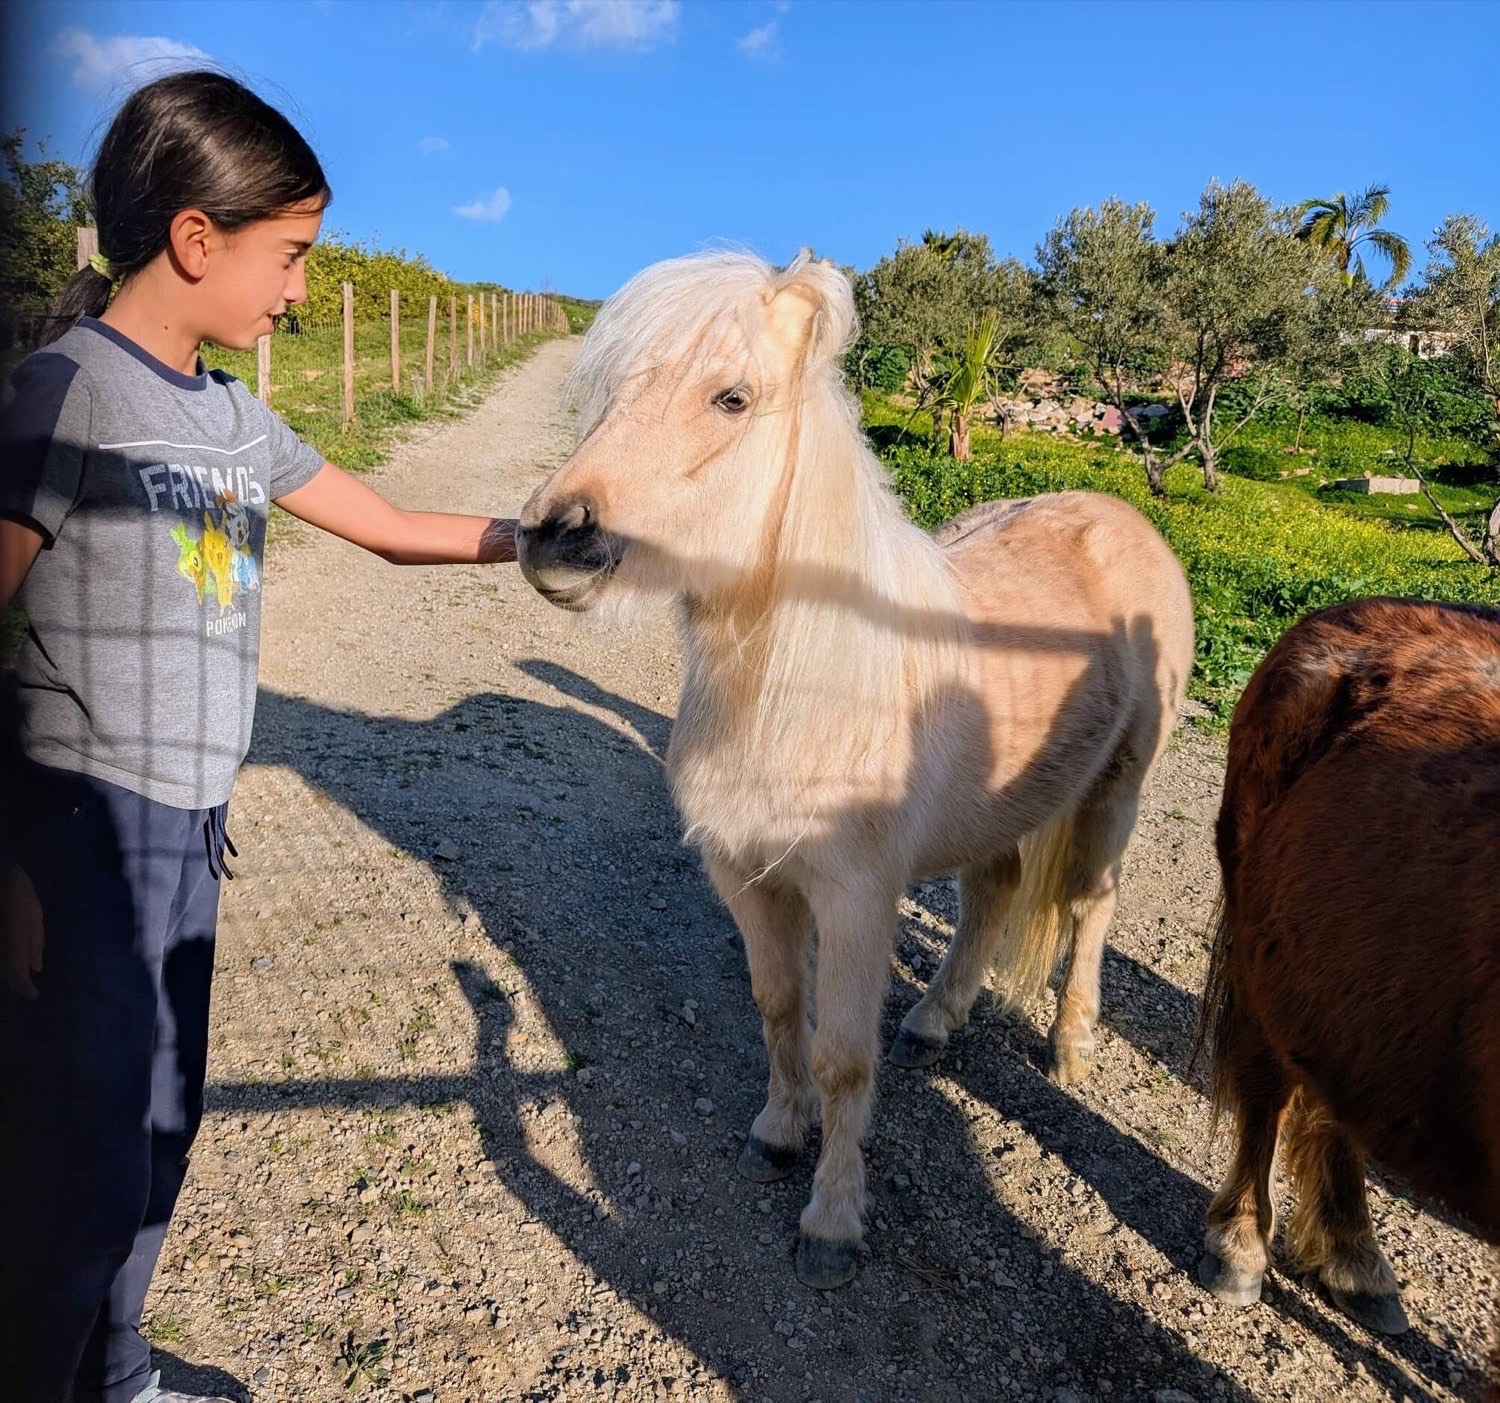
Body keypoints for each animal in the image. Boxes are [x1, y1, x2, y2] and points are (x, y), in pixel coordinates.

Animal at [516, 251, 1195, 1288]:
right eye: (611, 389)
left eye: (732, 398)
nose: (556, 534)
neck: (801, 688)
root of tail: (1122, 514)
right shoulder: (747, 877)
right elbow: (776, 1004)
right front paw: (777, 1129)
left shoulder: (856, 899)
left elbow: (840, 1054)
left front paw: (833, 1218)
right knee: (995, 890)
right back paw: (934, 1019)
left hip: (1116, 789)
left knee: (1089, 903)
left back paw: (1071, 1044)